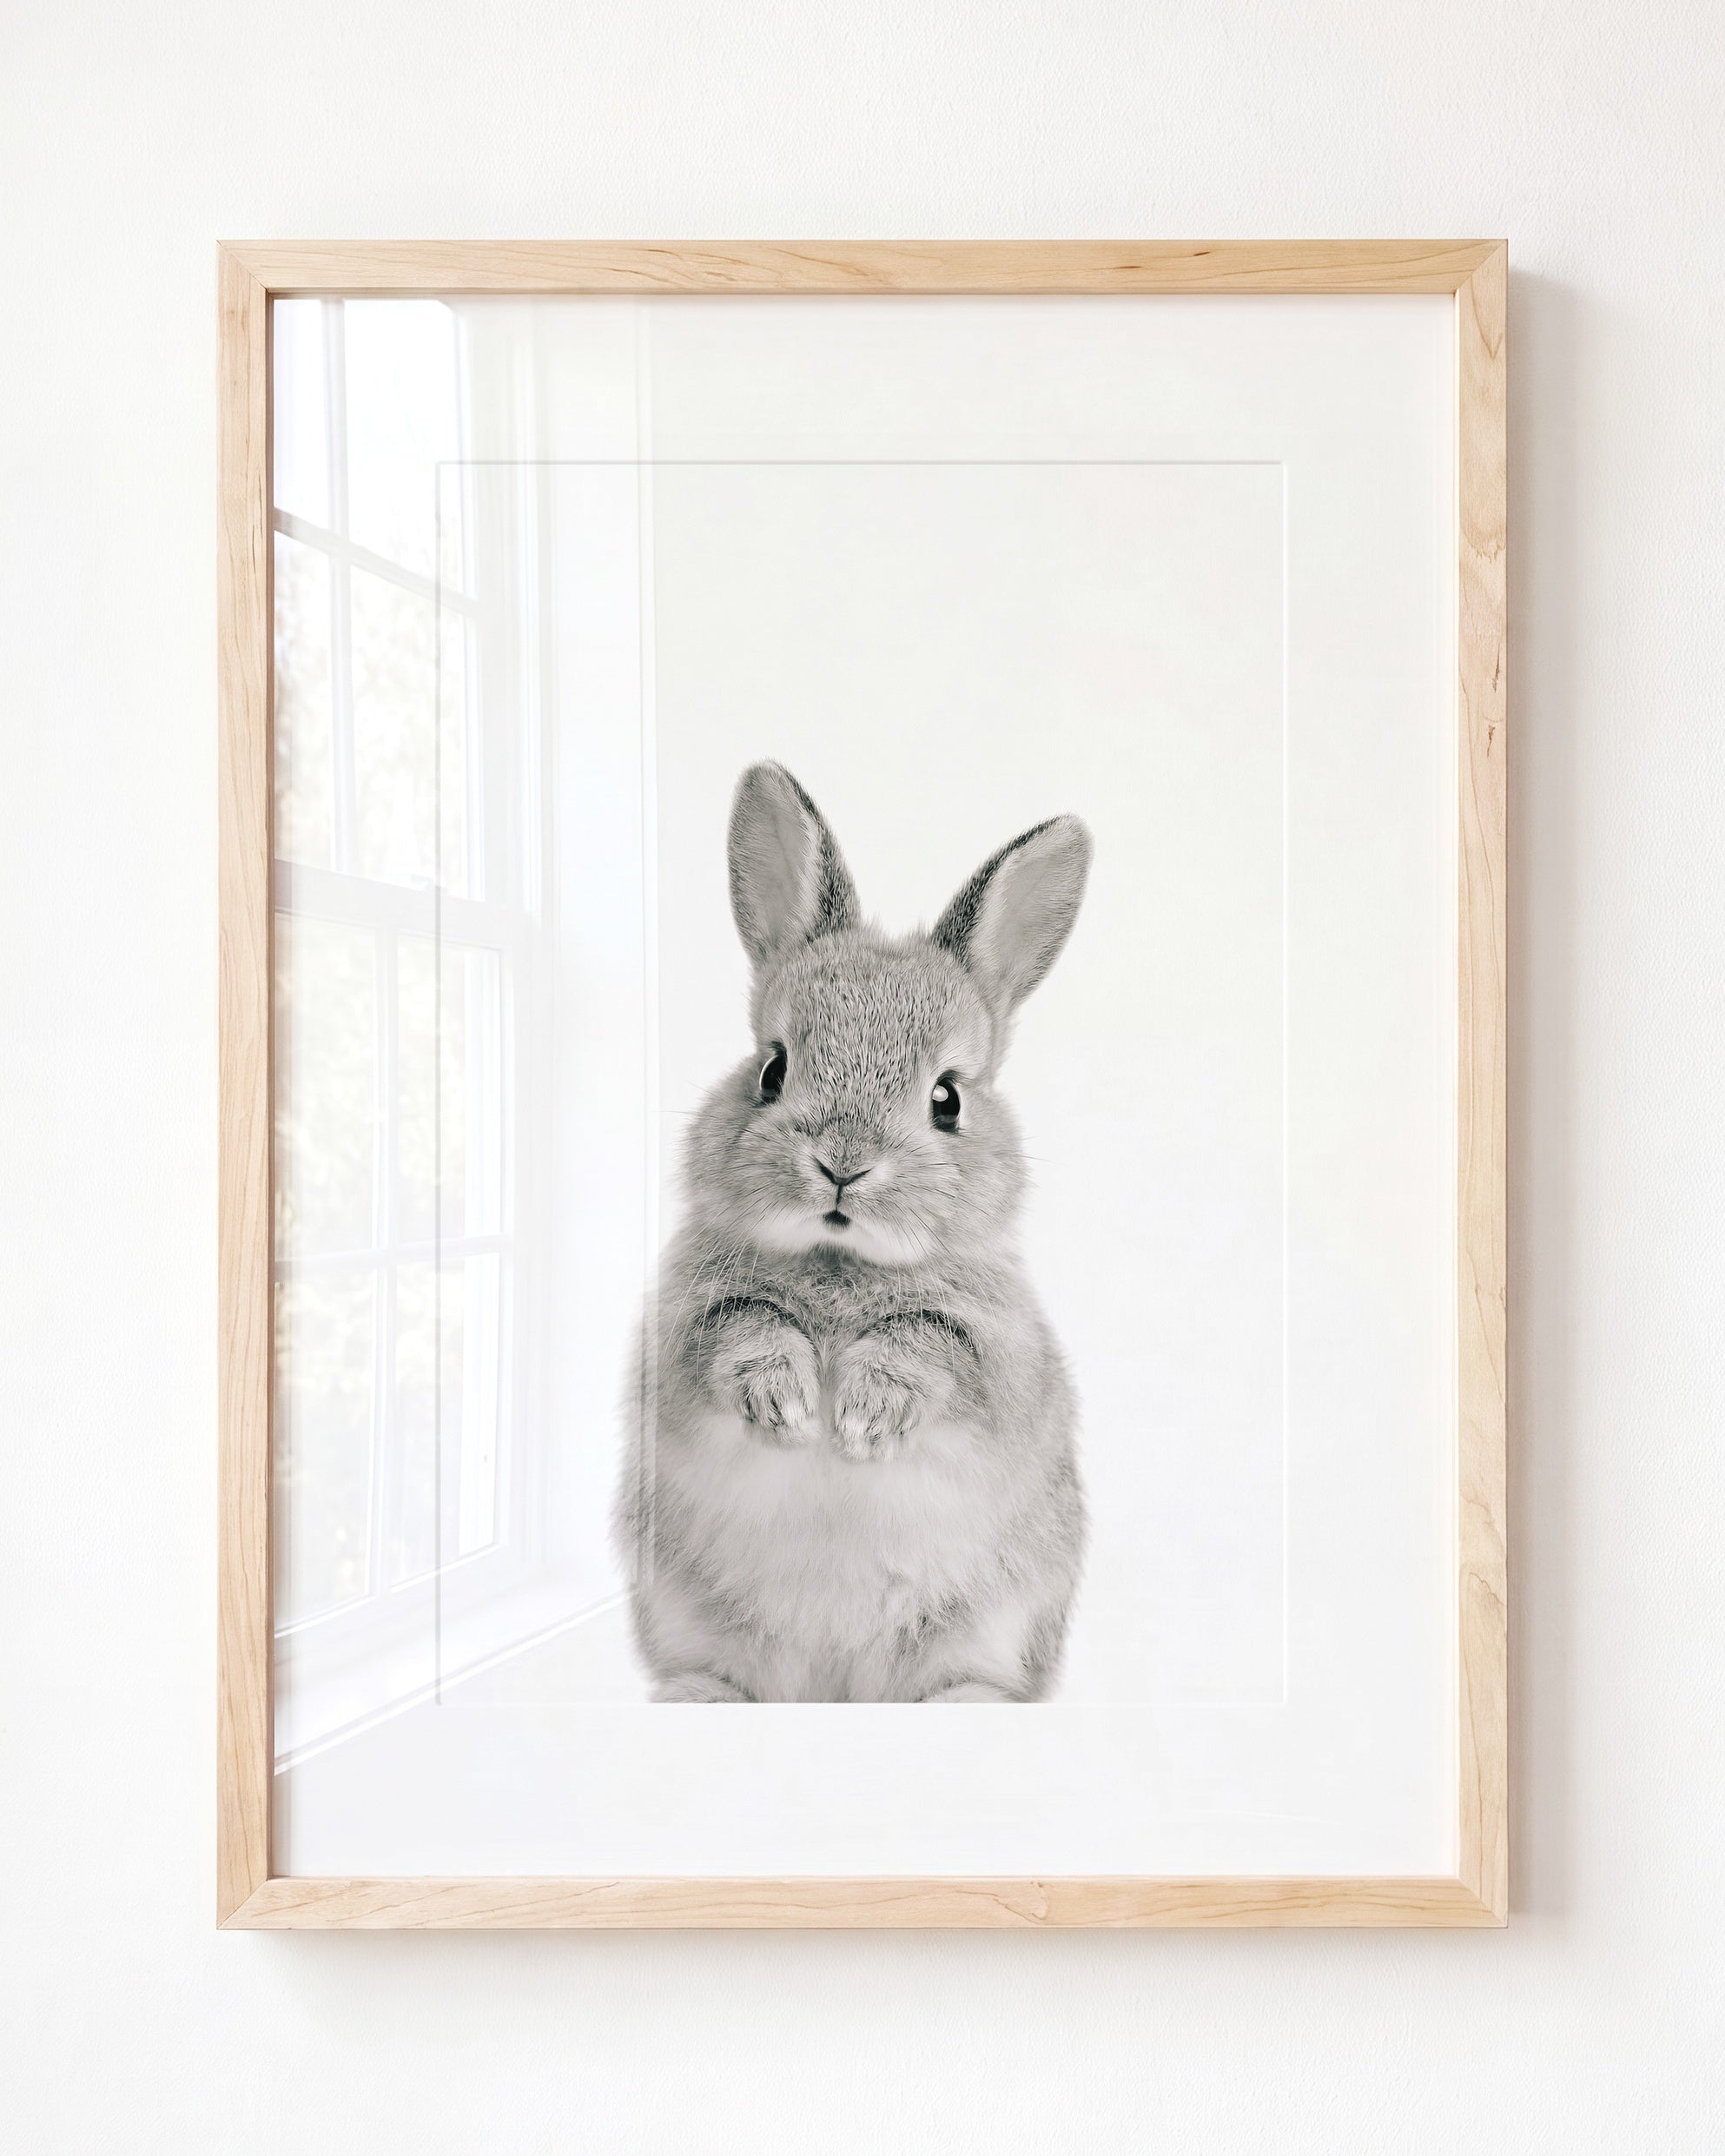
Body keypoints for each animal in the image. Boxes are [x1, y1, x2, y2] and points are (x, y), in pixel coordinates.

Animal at [618, 760, 1091, 1702]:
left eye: (947, 1098)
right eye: (772, 1068)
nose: (842, 1164)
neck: (839, 1260)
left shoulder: (999, 1359)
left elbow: (932, 1345)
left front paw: (865, 1416)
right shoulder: (684, 1336)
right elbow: (741, 1328)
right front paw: (787, 1402)